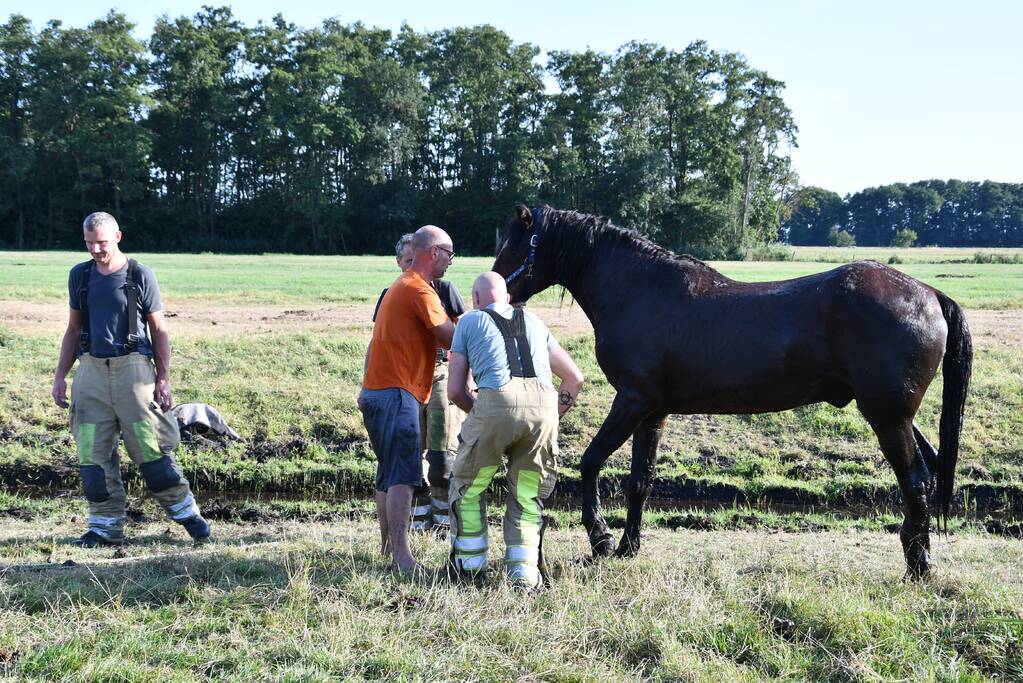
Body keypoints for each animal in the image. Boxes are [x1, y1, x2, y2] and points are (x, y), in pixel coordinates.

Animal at [492, 204, 972, 578]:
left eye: (515, 244)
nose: (490, 291)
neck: (639, 290)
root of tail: (930, 293)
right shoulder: (653, 411)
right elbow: (640, 481)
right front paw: (628, 545)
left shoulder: (631, 401)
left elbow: (591, 462)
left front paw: (602, 539)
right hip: (895, 415)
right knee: (929, 471)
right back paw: (918, 553)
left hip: (887, 416)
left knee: (915, 480)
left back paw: (919, 566)